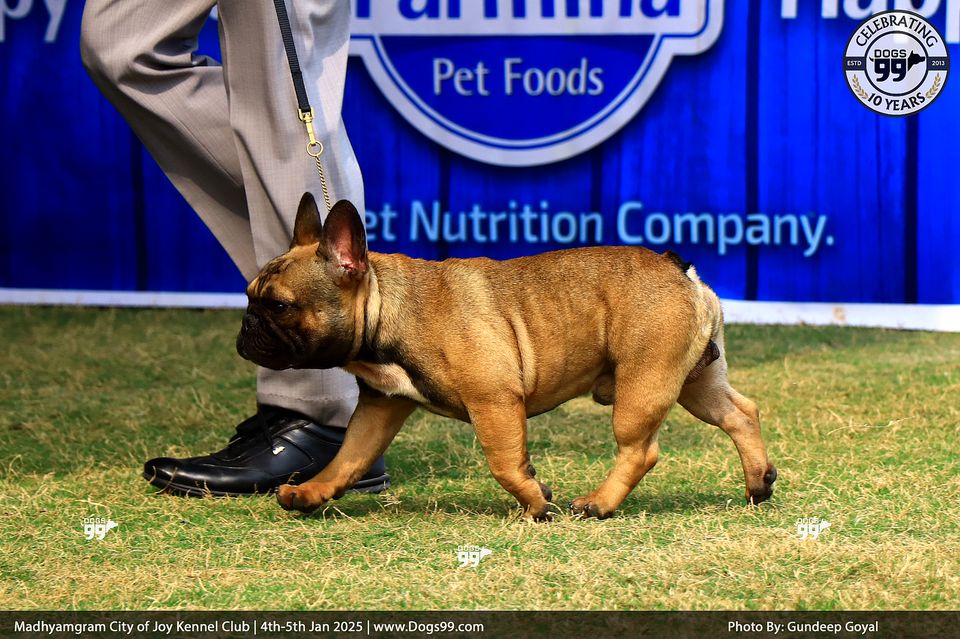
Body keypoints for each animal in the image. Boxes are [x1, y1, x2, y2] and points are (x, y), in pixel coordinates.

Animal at [236, 193, 777, 520]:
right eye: (247, 296)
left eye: (279, 306)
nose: (246, 327)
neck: (387, 307)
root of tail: (678, 270)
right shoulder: (380, 406)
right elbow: (348, 458)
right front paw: (312, 491)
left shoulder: (492, 400)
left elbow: (504, 462)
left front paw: (537, 503)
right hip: (694, 380)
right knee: (740, 413)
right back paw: (758, 481)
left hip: (644, 380)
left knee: (640, 449)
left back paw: (599, 503)